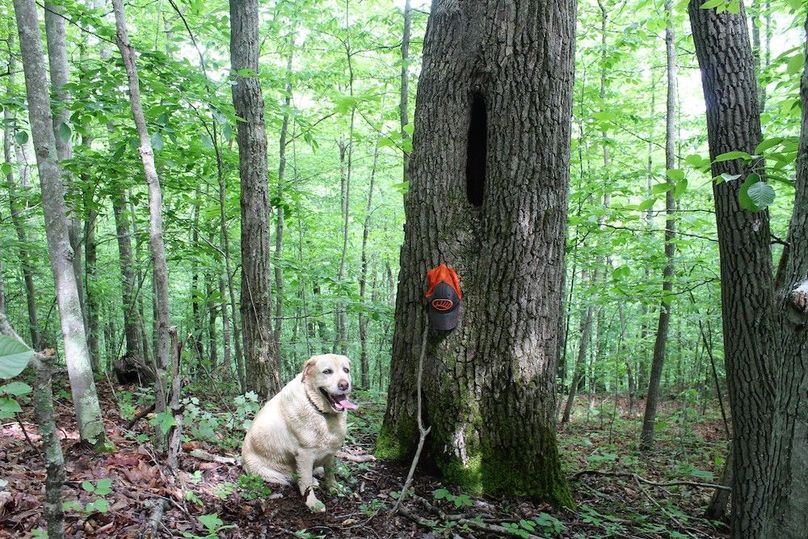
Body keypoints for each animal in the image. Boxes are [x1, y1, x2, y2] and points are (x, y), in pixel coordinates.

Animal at [238, 356, 356, 512]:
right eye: (327, 371)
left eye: (346, 370)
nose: (344, 384)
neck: (319, 410)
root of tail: (242, 462)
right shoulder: (304, 454)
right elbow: (305, 483)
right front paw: (312, 503)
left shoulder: (331, 451)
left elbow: (331, 472)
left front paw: (334, 488)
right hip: (270, 472)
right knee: (293, 478)